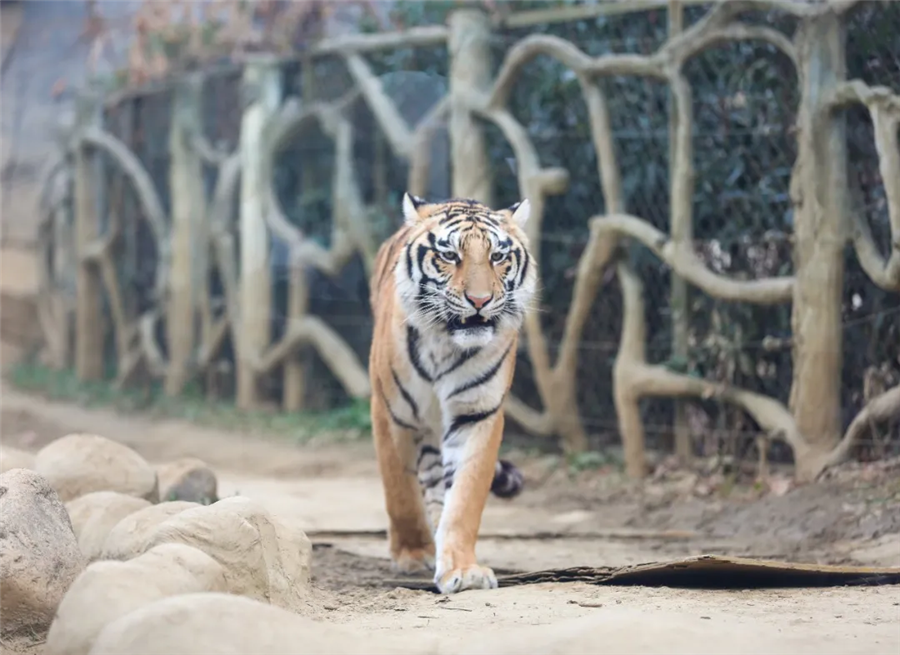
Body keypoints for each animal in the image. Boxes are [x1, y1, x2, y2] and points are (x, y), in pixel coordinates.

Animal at [370, 191, 536, 596]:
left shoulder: (477, 414)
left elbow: (464, 498)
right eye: (449, 255)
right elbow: (400, 491)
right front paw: (412, 554)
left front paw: (463, 569)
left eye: (498, 256)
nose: (479, 300)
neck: (446, 343)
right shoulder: (391, 413)